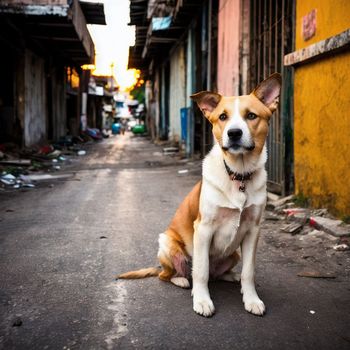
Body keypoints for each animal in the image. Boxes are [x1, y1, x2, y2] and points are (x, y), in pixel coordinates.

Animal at [117, 73, 282, 318]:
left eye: (251, 116)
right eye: (223, 117)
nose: (234, 133)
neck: (238, 175)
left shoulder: (254, 229)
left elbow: (249, 272)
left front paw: (251, 298)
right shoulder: (203, 229)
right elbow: (201, 271)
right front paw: (202, 300)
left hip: (234, 254)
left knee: (218, 274)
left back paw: (231, 277)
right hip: (167, 244)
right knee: (171, 274)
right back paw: (183, 281)